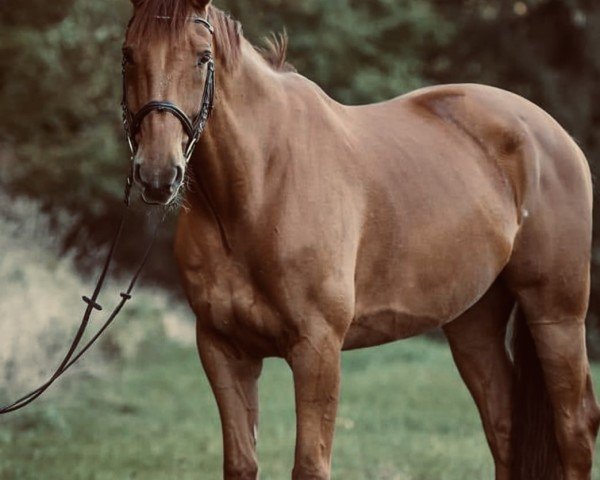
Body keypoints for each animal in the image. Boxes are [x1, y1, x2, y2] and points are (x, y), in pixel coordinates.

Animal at [122, 1, 600, 478]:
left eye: (203, 58)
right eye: (128, 55)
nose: (158, 174)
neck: (258, 188)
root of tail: (550, 132)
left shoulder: (318, 349)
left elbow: (310, 465)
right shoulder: (222, 349)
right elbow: (240, 463)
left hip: (555, 315)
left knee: (575, 428)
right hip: (474, 322)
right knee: (503, 427)